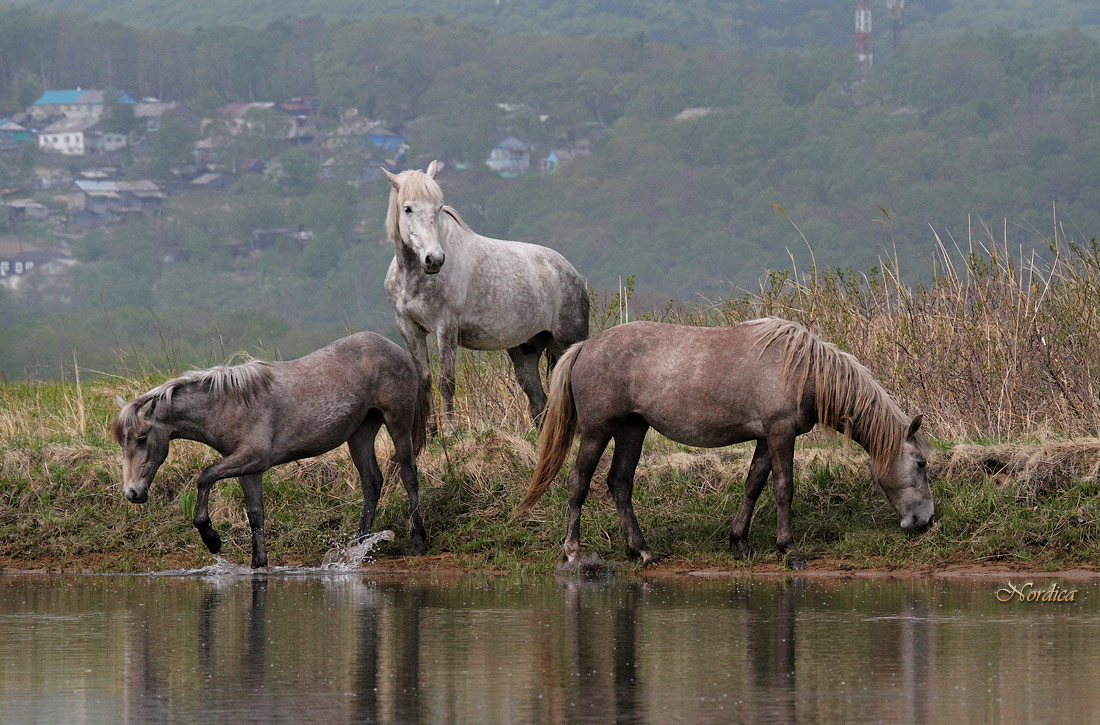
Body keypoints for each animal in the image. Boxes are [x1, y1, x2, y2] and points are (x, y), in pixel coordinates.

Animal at [113, 332, 431, 567]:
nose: (133, 493)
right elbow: (255, 513)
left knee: (408, 475)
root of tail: (398, 350)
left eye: (142, 438)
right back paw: (356, 546)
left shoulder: (253, 459)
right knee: (371, 482)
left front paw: (211, 538)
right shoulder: (247, 469)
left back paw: (419, 541)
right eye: (122, 441)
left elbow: (204, 477)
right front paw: (258, 562)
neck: (229, 404)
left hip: (398, 422)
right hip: (361, 432)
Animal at [382, 161, 589, 433]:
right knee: (537, 398)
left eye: (438, 207)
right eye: (407, 208)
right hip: (526, 349)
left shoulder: (445, 326)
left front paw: (450, 430)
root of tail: (572, 273)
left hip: (568, 339)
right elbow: (425, 378)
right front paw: (430, 431)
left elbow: (446, 379)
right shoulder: (409, 326)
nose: (434, 259)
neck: (413, 277)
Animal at [519, 321, 932, 572]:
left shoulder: (766, 438)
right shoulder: (781, 434)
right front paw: (790, 550)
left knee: (619, 483)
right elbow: (784, 488)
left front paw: (740, 543)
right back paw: (573, 551)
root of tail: (585, 346)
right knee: (579, 482)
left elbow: (753, 485)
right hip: (596, 430)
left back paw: (643, 551)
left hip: (632, 429)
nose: (925, 520)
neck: (804, 370)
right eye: (921, 464)